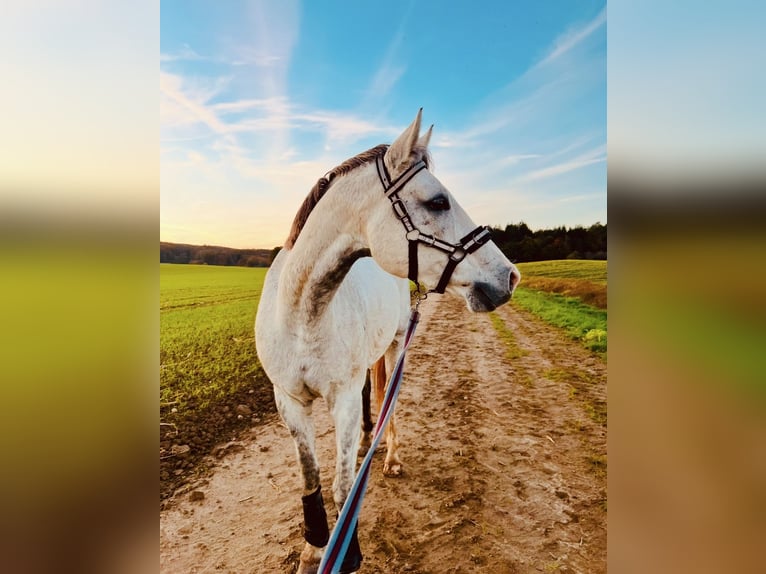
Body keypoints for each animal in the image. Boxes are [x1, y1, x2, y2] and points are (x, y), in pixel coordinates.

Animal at [256, 110, 520, 572]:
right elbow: (311, 480)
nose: (509, 277)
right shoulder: (288, 401)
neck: (300, 315)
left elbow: (344, 488)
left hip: (397, 343)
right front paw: (314, 547)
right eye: (438, 201)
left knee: (388, 402)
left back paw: (391, 456)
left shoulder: (340, 400)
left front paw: (346, 553)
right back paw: (367, 442)